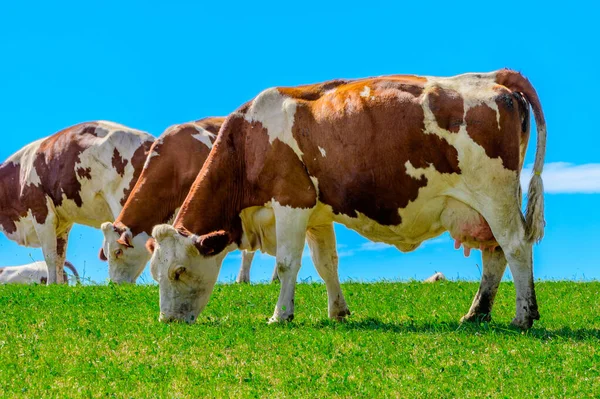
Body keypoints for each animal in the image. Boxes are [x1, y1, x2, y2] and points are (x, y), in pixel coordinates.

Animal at [0, 121, 155, 284]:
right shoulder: (62, 225)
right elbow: (59, 259)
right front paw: (59, 285)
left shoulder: (42, 213)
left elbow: (50, 256)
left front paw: (50, 285)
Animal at [148, 69, 548, 332]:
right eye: (154, 273)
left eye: (178, 271)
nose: (166, 320)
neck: (247, 142)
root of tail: (492, 76)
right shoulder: (317, 214)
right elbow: (327, 265)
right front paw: (337, 312)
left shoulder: (291, 201)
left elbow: (286, 264)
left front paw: (280, 315)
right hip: (483, 207)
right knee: (494, 254)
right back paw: (476, 313)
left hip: (494, 195)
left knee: (515, 247)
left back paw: (523, 315)